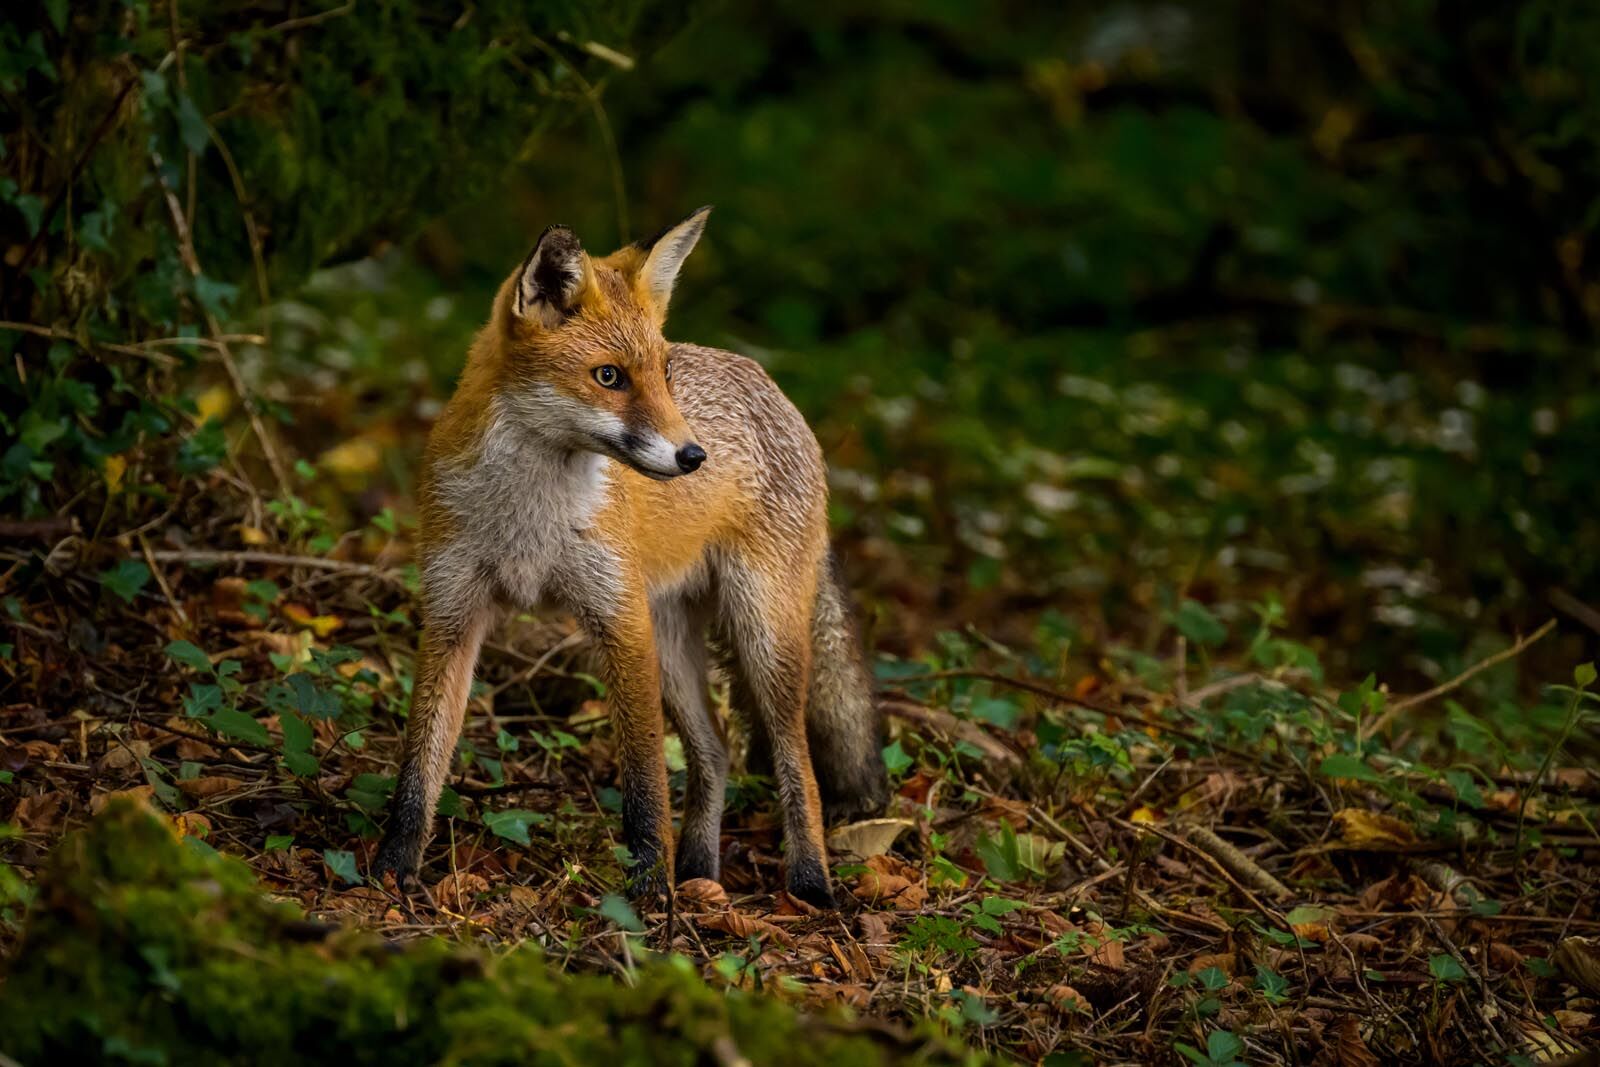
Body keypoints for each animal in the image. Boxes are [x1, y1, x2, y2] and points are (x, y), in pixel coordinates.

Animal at [374, 207, 888, 907]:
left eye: (663, 375)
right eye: (608, 376)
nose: (693, 456)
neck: (529, 519)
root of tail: (770, 385)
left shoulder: (620, 620)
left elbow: (645, 781)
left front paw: (646, 893)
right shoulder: (453, 612)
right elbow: (420, 762)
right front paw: (392, 866)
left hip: (761, 636)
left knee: (797, 760)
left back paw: (809, 882)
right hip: (675, 646)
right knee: (717, 751)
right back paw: (699, 868)